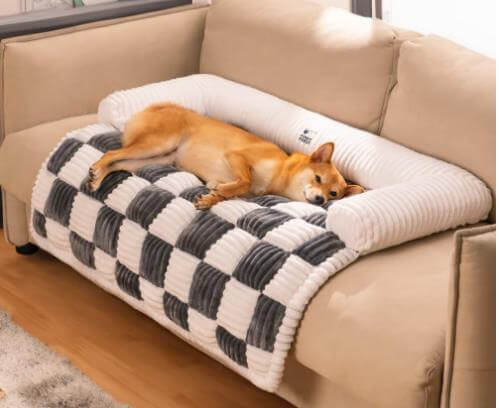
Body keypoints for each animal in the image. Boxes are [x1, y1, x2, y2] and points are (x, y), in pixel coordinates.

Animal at [88, 103, 366, 209]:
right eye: (318, 179)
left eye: (334, 194)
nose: (321, 200)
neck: (280, 173)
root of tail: (157, 105)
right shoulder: (236, 156)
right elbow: (244, 179)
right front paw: (220, 193)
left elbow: (230, 189)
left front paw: (213, 197)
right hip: (157, 144)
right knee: (111, 152)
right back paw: (96, 169)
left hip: (156, 159)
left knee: (118, 162)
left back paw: (98, 178)